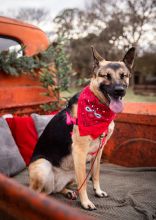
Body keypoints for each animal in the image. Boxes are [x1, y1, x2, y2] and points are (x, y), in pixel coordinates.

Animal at [29, 46, 135, 210]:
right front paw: (86, 202)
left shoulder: (99, 151)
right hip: (43, 167)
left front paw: (97, 191)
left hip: (71, 173)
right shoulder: (79, 152)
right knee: (37, 191)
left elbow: (96, 174)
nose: (119, 90)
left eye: (123, 76)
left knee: (59, 189)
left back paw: (68, 192)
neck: (98, 108)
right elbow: (84, 183)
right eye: (107, 76)